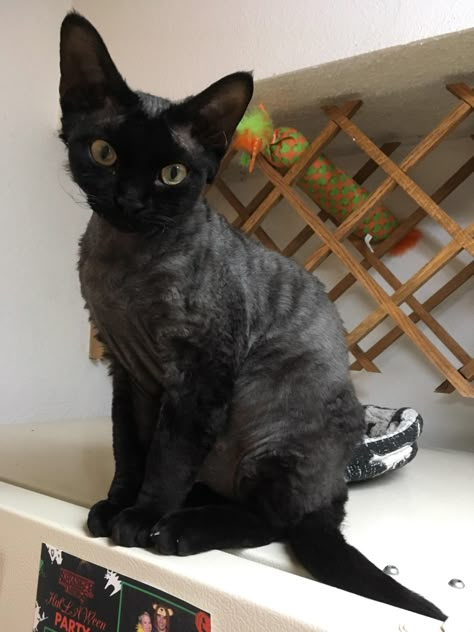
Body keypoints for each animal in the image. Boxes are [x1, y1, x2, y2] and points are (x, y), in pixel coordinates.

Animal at [58, 12, 444, 620]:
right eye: (103, 153)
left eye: (172, 173)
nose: (131, 201)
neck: (126, 268)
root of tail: (334, 487)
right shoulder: (128, 373)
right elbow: (129, 447)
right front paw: (115, 506)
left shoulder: (199, 374)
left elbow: (166, 456)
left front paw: (140, 519)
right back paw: (187, 509)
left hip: (269, 427)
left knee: (276, 520)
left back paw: (179, 529)